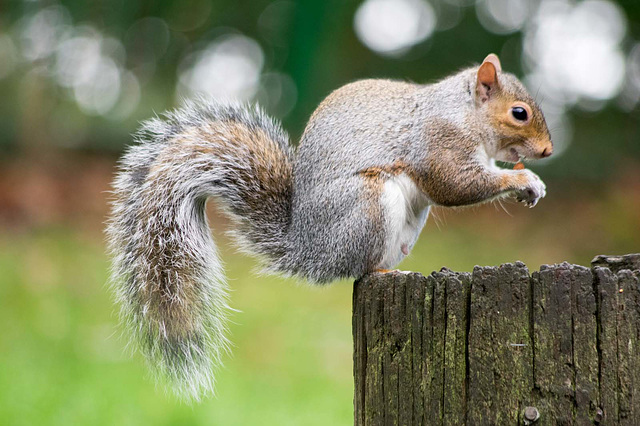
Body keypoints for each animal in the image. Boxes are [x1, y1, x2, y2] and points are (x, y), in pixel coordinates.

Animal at [105, 53, 552, 400]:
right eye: (519, 113)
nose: (548, 151)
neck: (464, 113)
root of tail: (307, 247)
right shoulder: (439, 143)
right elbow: (455, 183)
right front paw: (523, 181)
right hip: (368, 206)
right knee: (362, 268)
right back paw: (387, 272)